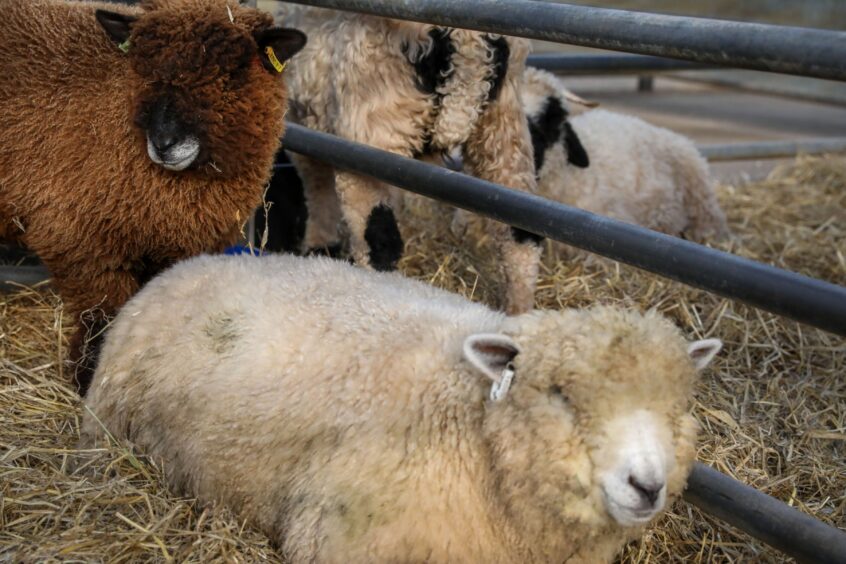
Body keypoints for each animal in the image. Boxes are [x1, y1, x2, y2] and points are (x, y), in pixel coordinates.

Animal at [1, 0, 306, 396]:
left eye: (233, 72)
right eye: (143, 67)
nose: (164, 143)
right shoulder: (79, 243)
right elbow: (104, 316)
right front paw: (92, 379)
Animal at [274, 3, 548, 312]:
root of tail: (468, 45)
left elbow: (318, 188)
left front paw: (319, 247)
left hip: (369, 139)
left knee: (378, 238)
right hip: (502, 128)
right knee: (521, 235)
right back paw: (518, 312)